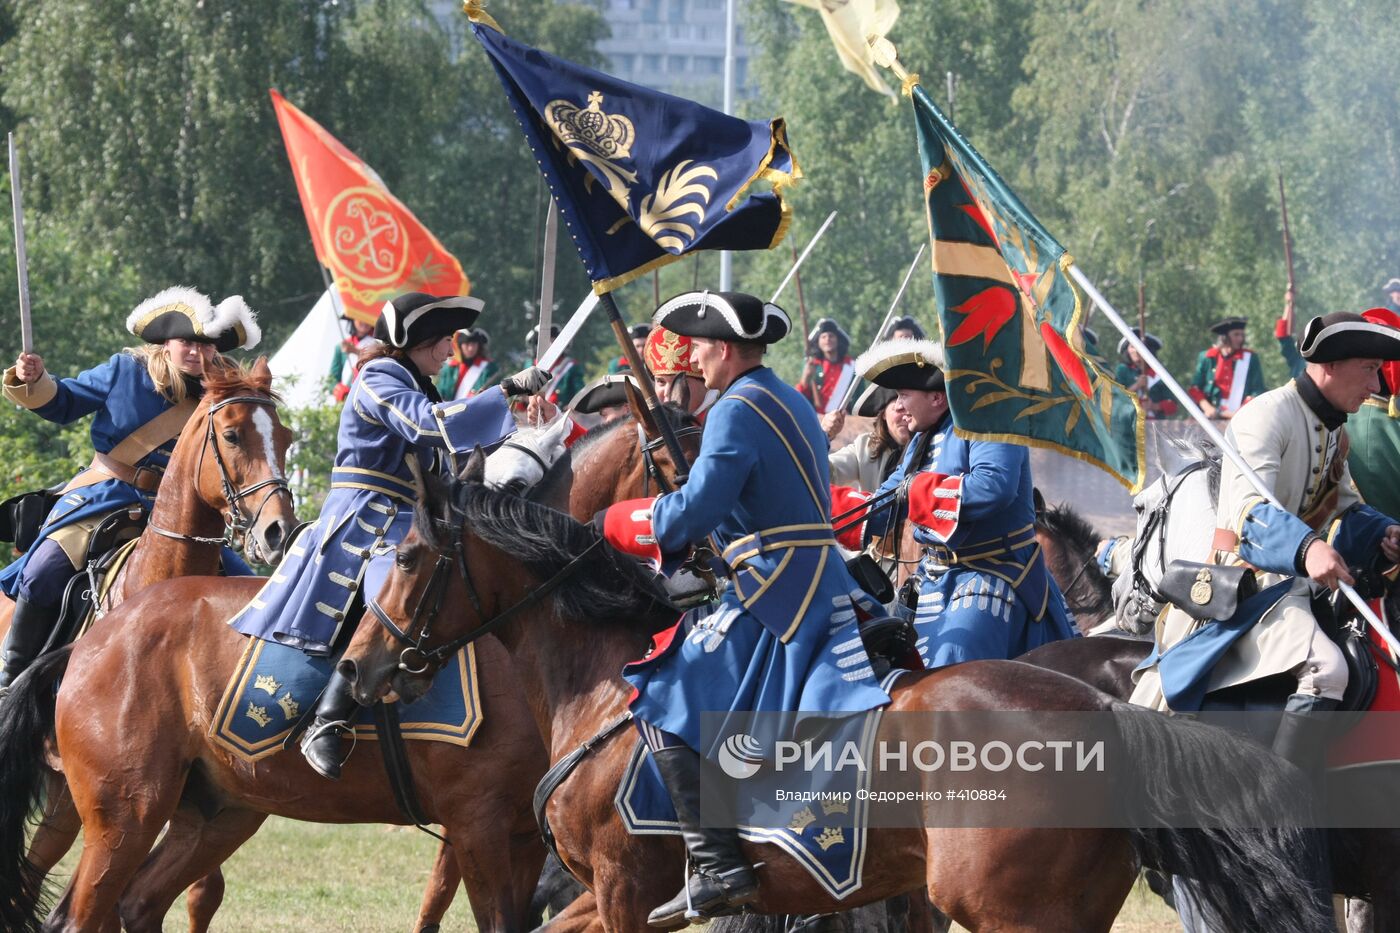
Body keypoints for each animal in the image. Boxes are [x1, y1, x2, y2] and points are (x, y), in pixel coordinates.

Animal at [327, 462, 1332, 930]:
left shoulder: (622, 888)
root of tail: (1110, 712)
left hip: (1011, 910)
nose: (358, 671)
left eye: (408, 554)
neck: (605, 685)